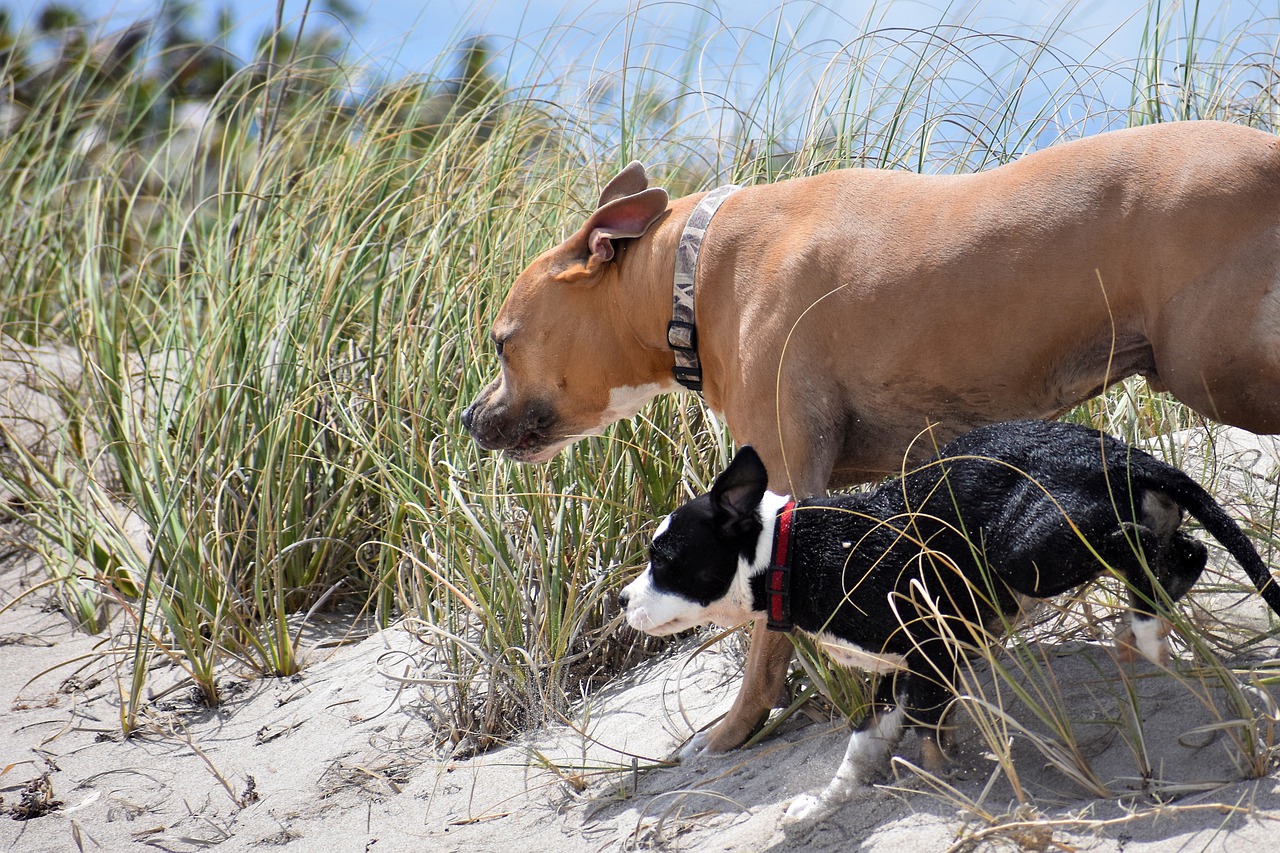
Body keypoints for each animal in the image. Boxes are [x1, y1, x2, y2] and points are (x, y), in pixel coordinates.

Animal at [465, 119, 1280, 753]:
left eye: (503, 341)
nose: (471, 419)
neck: (690, 273)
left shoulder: (782, 483)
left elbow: (763, 649)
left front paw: (733, 731)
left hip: (1219, 370)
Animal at [619, 417, 1280, 824]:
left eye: (666, 559)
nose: (624, 601)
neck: (788, 551)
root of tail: (1121, 454)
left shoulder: (932, 648)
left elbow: (927, 729)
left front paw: (943, 772)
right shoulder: (897, 666)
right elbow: (864, 742)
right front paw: (824, 804)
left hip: (1023, 548)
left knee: (1136, 542)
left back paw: (1142, 629)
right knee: (1184, 550)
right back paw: (1153, 614)